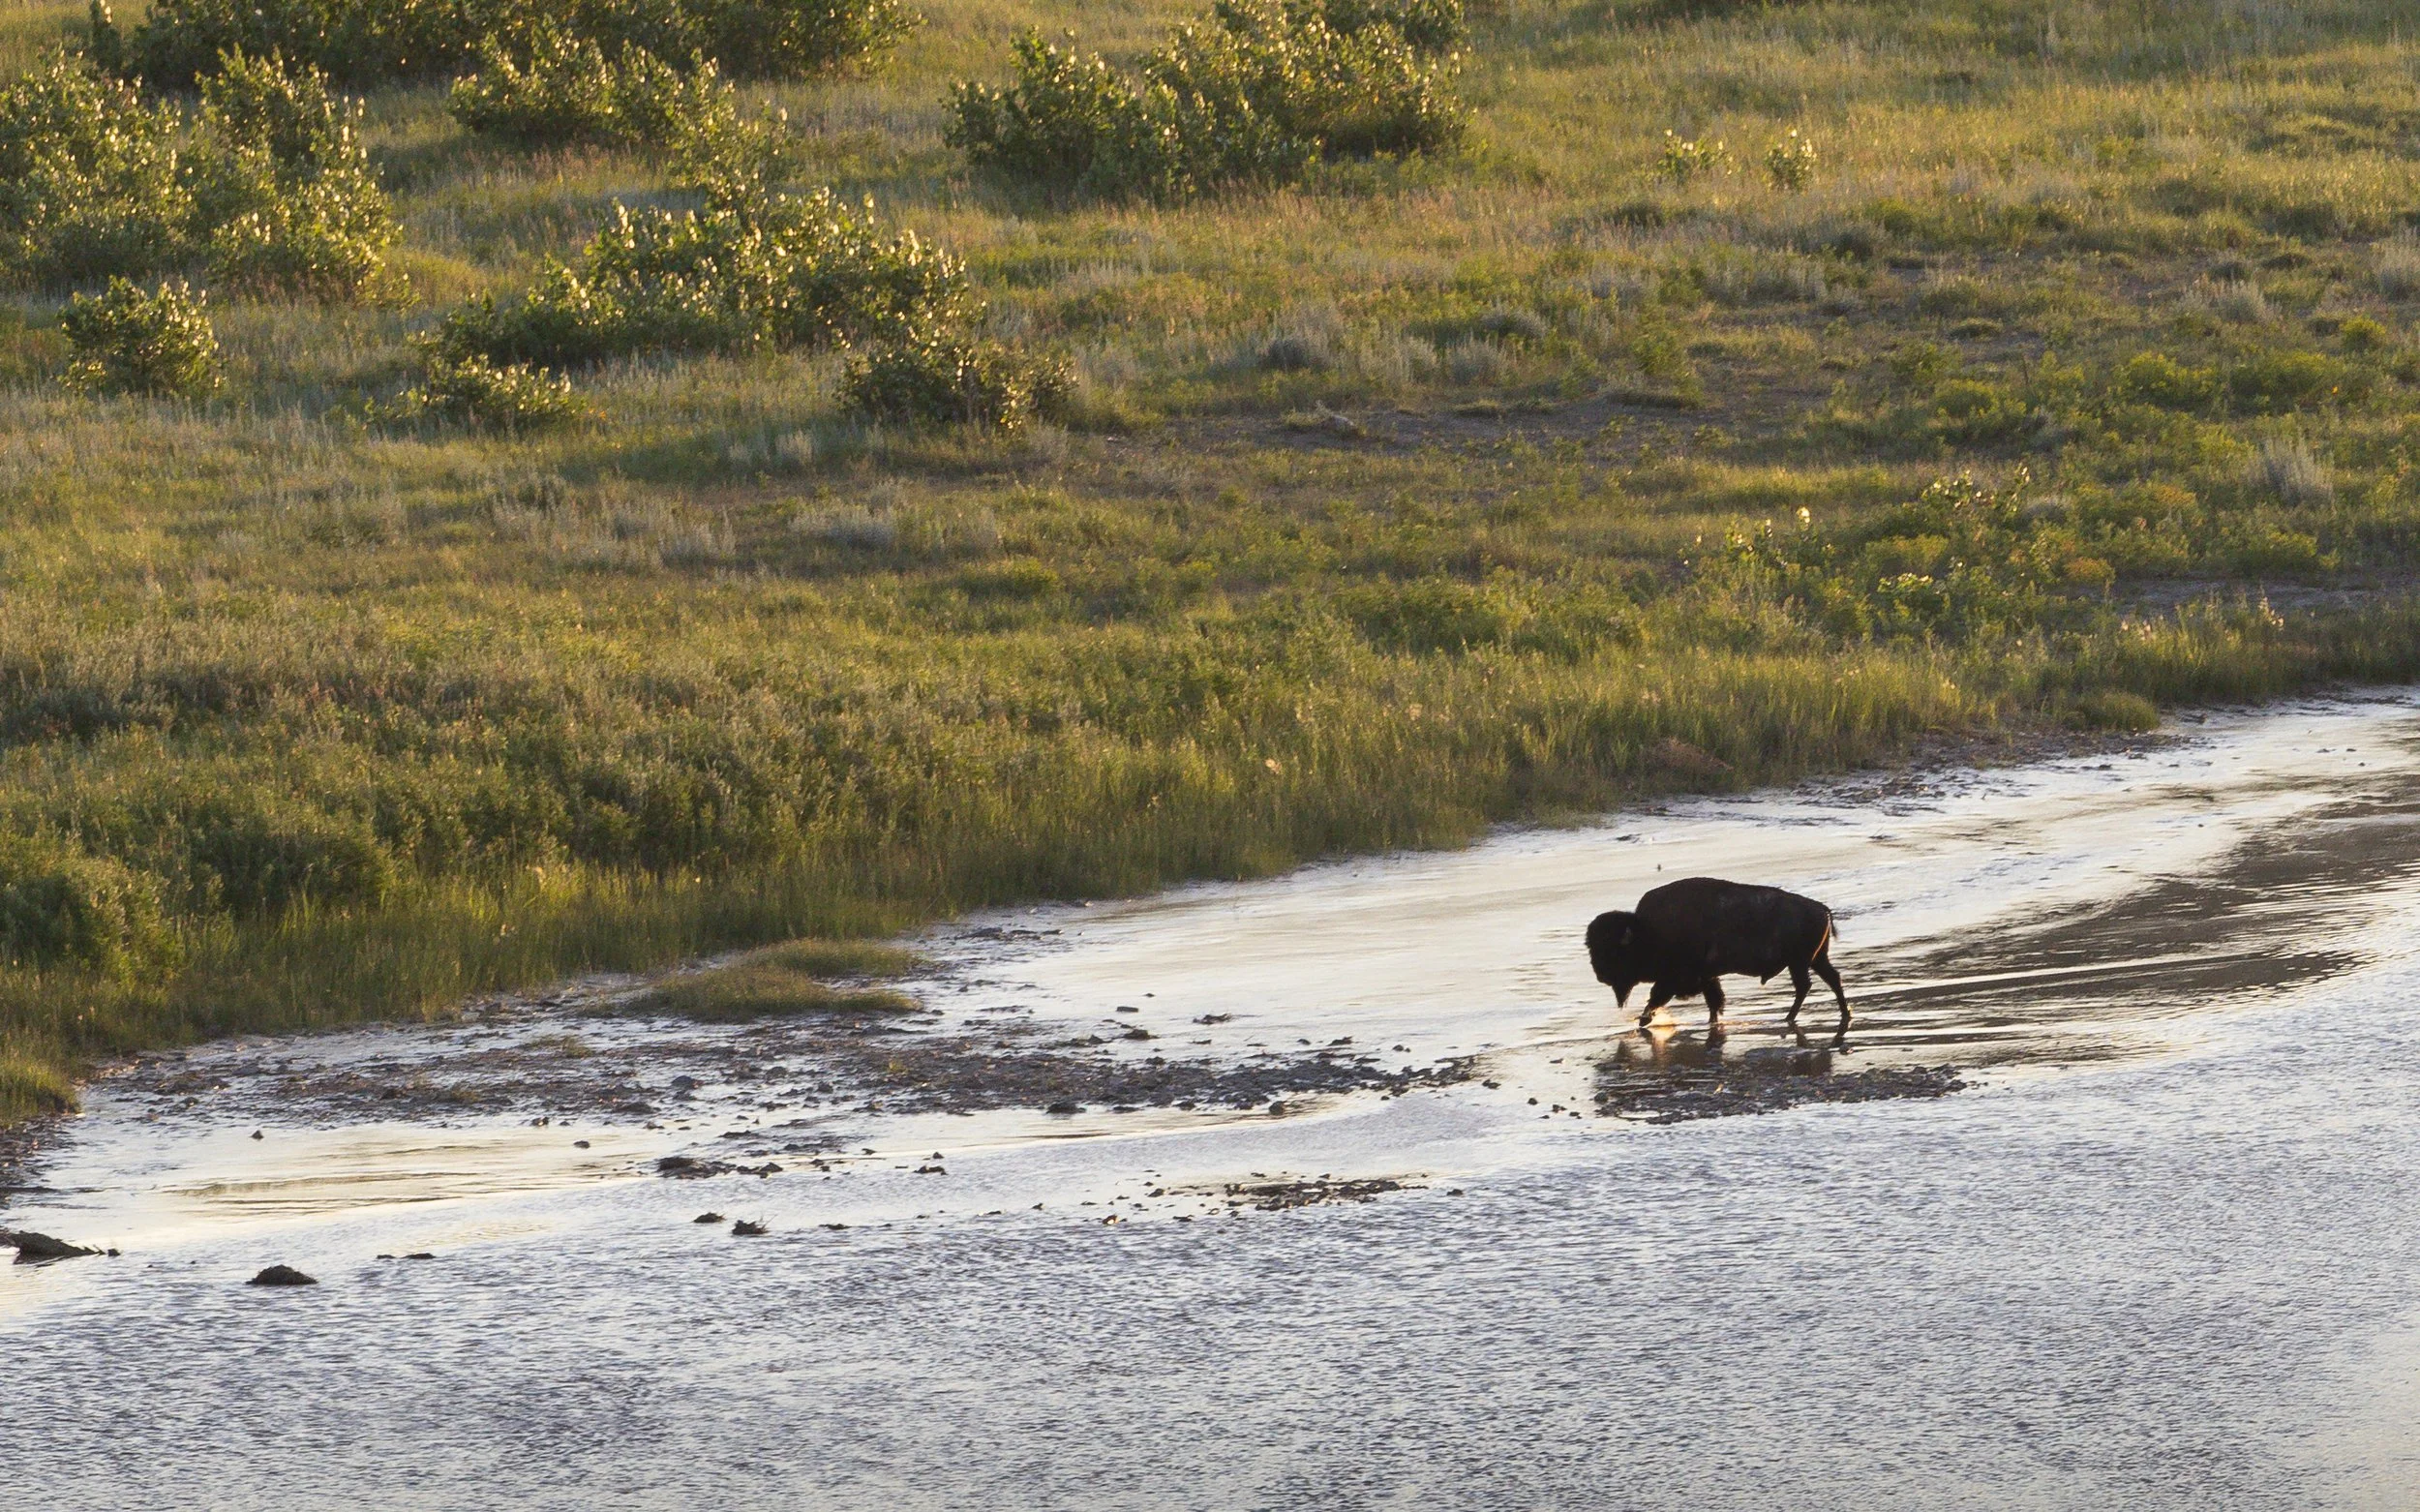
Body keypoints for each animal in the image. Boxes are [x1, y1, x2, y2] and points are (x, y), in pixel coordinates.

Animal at [1586, 876, 1848, 1034]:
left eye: (1612, 952)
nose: (1600, 976)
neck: (1647, 931)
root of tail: (1821, 909)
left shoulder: (1675, 979)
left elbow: (1657, 998)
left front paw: (1643, 1021)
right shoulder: (1706, 978)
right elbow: (1714, 1001)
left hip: (1800, 962)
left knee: (1805, 986)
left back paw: (1789, 1018)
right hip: (1814, 960)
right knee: (1831, 979)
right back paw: (1841, 1013)